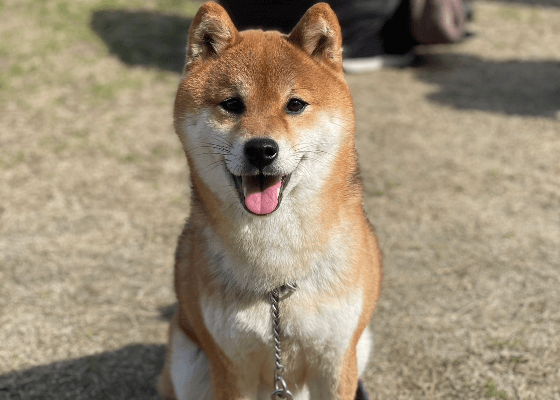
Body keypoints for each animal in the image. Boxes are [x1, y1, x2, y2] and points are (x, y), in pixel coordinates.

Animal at [159, 1, 384, 398]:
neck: (276, 280)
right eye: (232, 104)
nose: (261, 149)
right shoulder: (231, 367)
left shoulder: (336, 359)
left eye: (294, 104)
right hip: (188, 361)